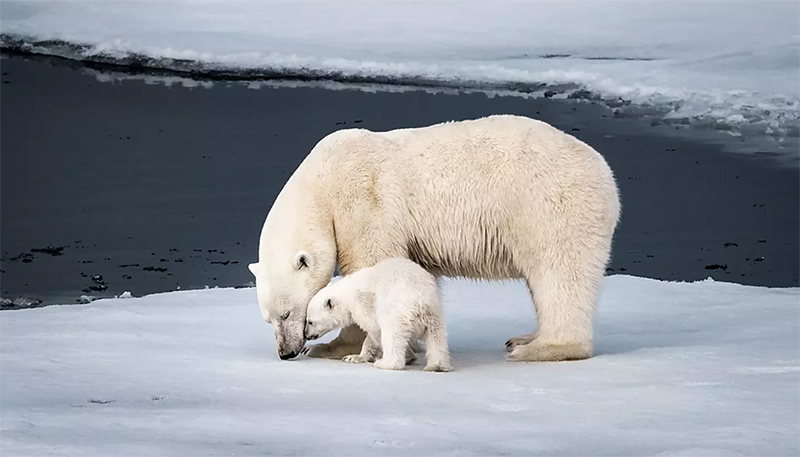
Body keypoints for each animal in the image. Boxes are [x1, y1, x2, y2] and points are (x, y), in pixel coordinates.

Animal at [304, 256, 450, 370]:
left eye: (310, 322)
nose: (307, 335)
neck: (348, 293)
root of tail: (419, 300)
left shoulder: (363, 303)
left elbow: (374, 330)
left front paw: (354, 357)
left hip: (397, 310)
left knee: (391, 334)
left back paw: (385, 363)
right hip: (434, 311)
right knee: (436, 337)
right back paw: (437, 366)